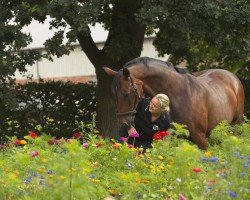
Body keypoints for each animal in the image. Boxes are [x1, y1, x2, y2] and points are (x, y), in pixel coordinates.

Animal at [103, 57, 244, 149]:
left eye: (126, 93)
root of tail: (232, 77)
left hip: (234, 127)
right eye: (113, 94)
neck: (179, 96)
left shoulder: (200, 138)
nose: (125, 123)